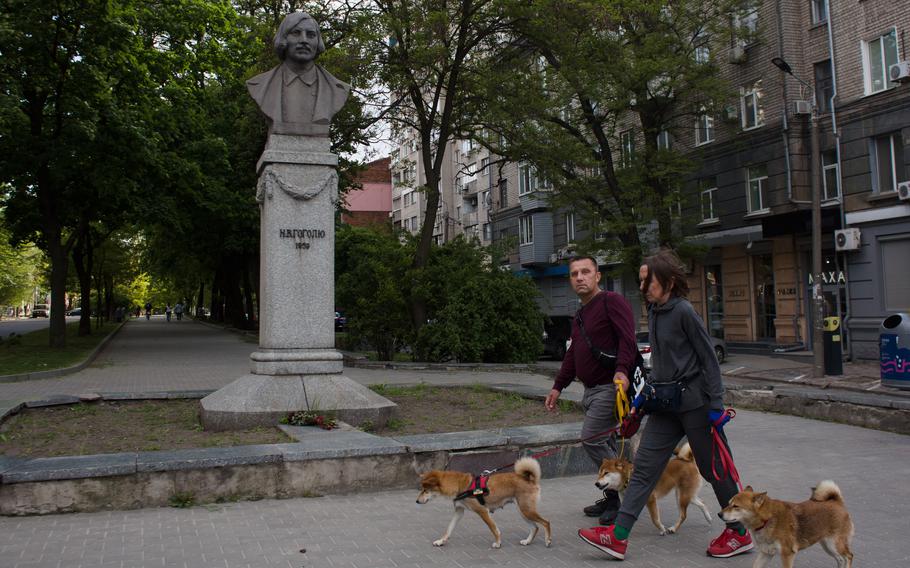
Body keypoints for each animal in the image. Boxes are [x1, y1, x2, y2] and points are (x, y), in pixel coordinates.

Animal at [416, 460, 552, 548]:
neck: (460, 485)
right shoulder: (459, 511)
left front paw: (498, 543)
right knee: (535, 527)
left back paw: (548, 540)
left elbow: (494, 529)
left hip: (526, 510)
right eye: (421, 489)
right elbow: (449, 529)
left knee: (546, 522)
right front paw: (441, 541)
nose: (416, 501)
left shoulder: (482, 511)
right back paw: (527, 541)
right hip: (523, 511)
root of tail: (529, 479)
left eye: (425, 490)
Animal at [720, 480, 856, 568]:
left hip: (834, 544)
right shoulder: (766, 553)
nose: (719, 514)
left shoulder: (787, 554)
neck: (767, 519)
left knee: (849, 556)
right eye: (729, 503)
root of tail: (836, 501)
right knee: (841, 559)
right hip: (828, 546)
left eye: (736, 506)